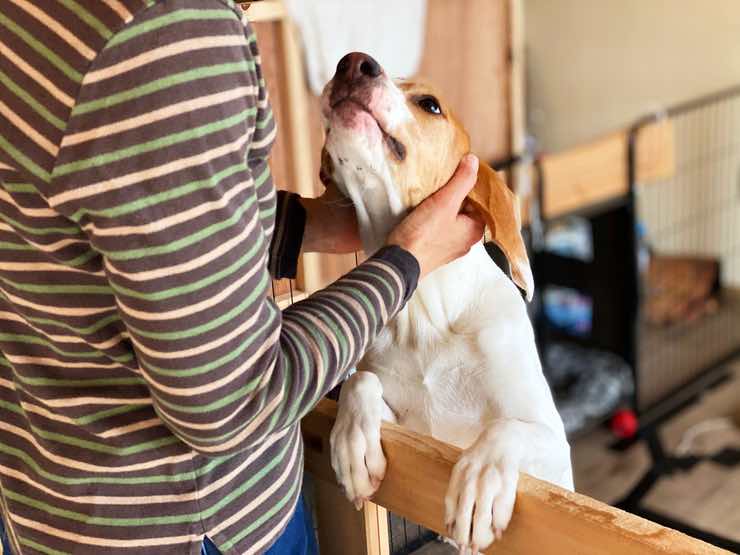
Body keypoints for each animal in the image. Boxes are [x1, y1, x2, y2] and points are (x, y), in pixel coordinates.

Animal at [320, 51, 572, 552]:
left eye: (430, 105)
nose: (352, 63)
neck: (426, 315)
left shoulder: (556, 456)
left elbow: (505, 428)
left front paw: (480, 481)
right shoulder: (408, 429)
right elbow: (360, 383)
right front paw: (352, 443)